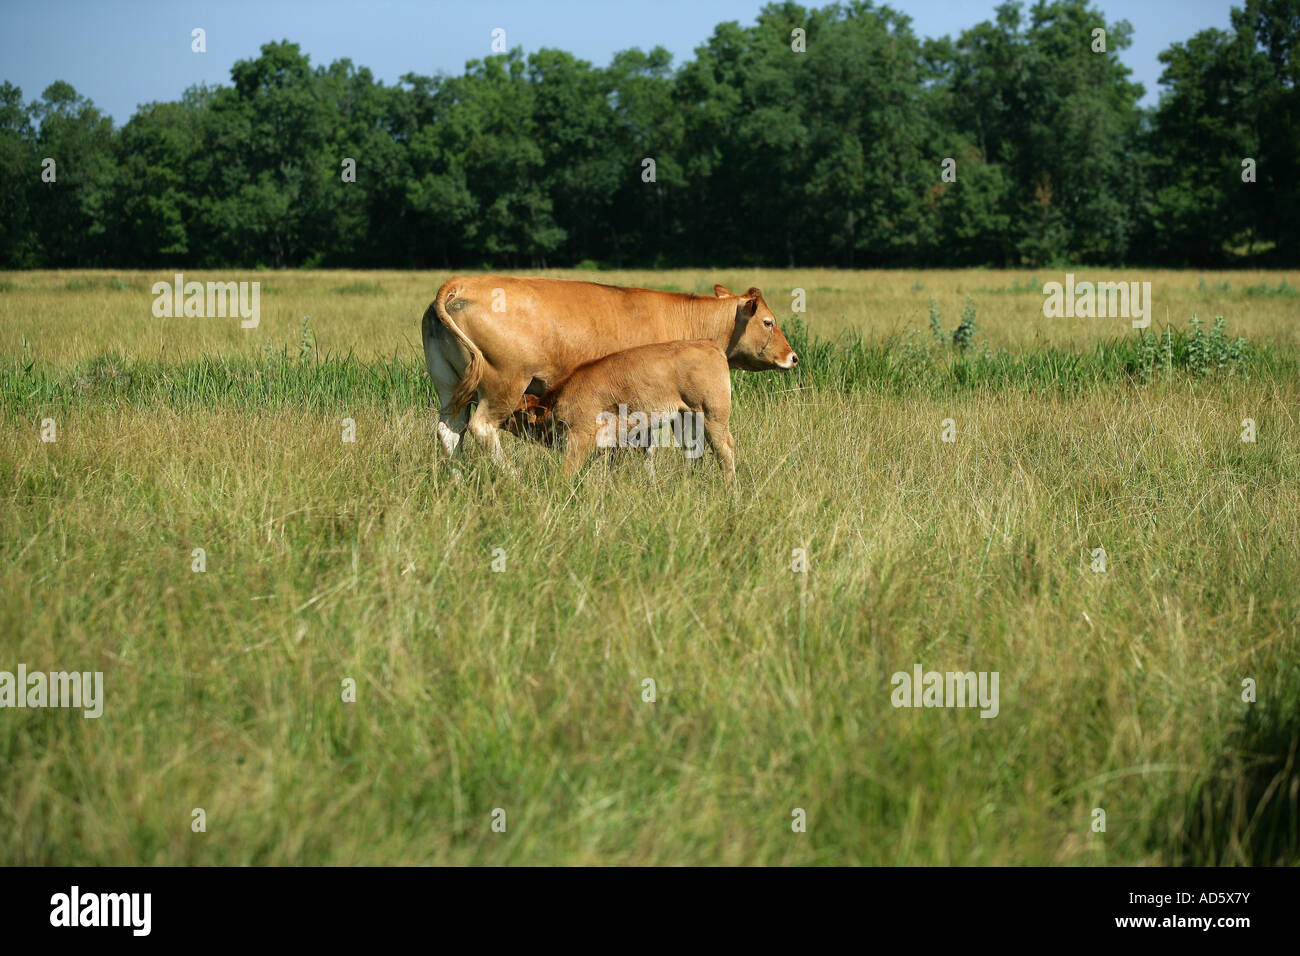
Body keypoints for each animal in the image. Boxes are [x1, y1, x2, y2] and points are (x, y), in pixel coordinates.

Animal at [421, 276, 797, 465]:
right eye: (768, 321)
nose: (792, 357)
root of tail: (461, 284)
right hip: (505, 384)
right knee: (482, 428)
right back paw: (512, 480)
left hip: (449, 387)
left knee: (449, 433)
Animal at [503, 339, 737, 480]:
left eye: (514, 414)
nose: (500, 419)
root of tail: (708, 344)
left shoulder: (580, 437)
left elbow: (568, 470)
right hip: (686, 421)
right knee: (695, 451)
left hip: (713, 418)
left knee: (724, 451)